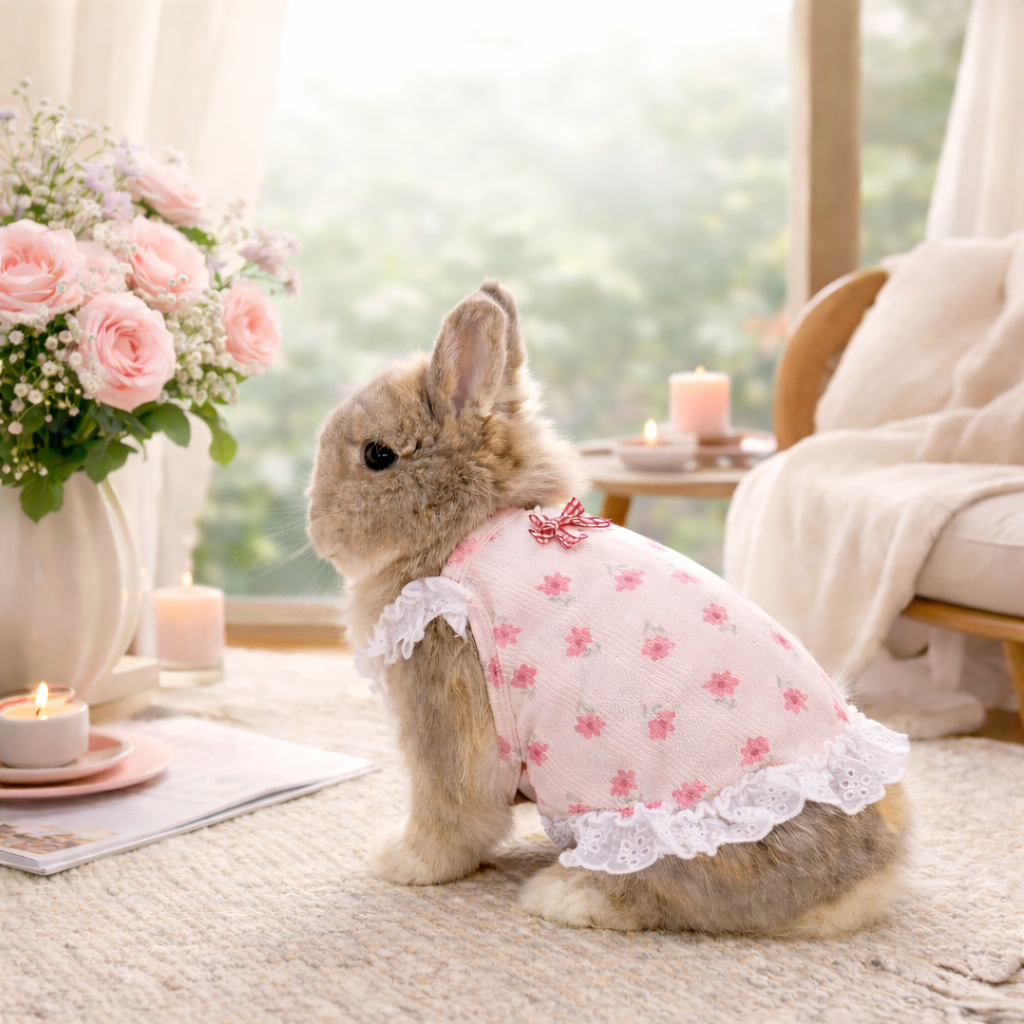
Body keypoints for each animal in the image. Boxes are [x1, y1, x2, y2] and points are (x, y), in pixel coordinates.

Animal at [308, 281, 910, 936]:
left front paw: (400, 862)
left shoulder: (443, 717)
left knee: (656, 890)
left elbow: (453, 814)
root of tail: (860, 884)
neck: (465, 526)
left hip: (650, 817)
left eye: (378, 455)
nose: (317, 528)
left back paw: (563, 893)